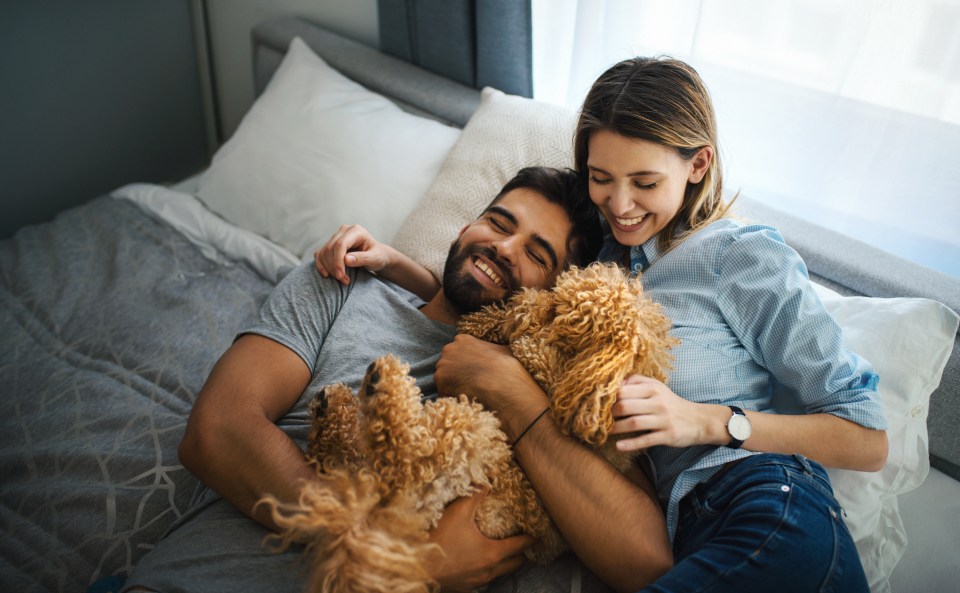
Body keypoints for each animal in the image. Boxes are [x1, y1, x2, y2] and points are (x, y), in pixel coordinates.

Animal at [258, 262, 680, 592]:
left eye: (559, 311)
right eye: (557, 295)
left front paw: (520, 326)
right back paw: (333, 411)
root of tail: (391, 520)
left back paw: (381, 386)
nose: (526, 299)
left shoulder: (553, 376)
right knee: (351, 461)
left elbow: (530, 348)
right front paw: (497, 318)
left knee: (398, 456)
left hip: (473, 430)